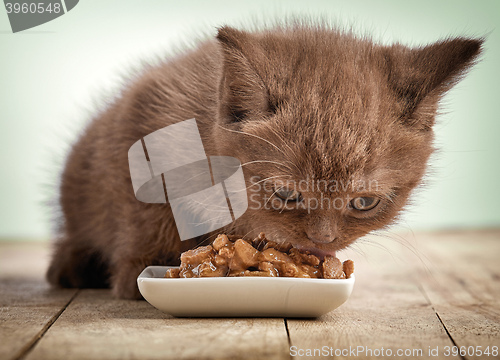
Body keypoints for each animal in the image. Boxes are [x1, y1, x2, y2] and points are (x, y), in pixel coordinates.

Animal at [45, 21, 482, 298]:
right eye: (286, 195)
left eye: (364, 202)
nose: (323, 240)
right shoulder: (141, 127)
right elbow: (145, 211)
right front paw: (144, 266)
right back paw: (72, 266)